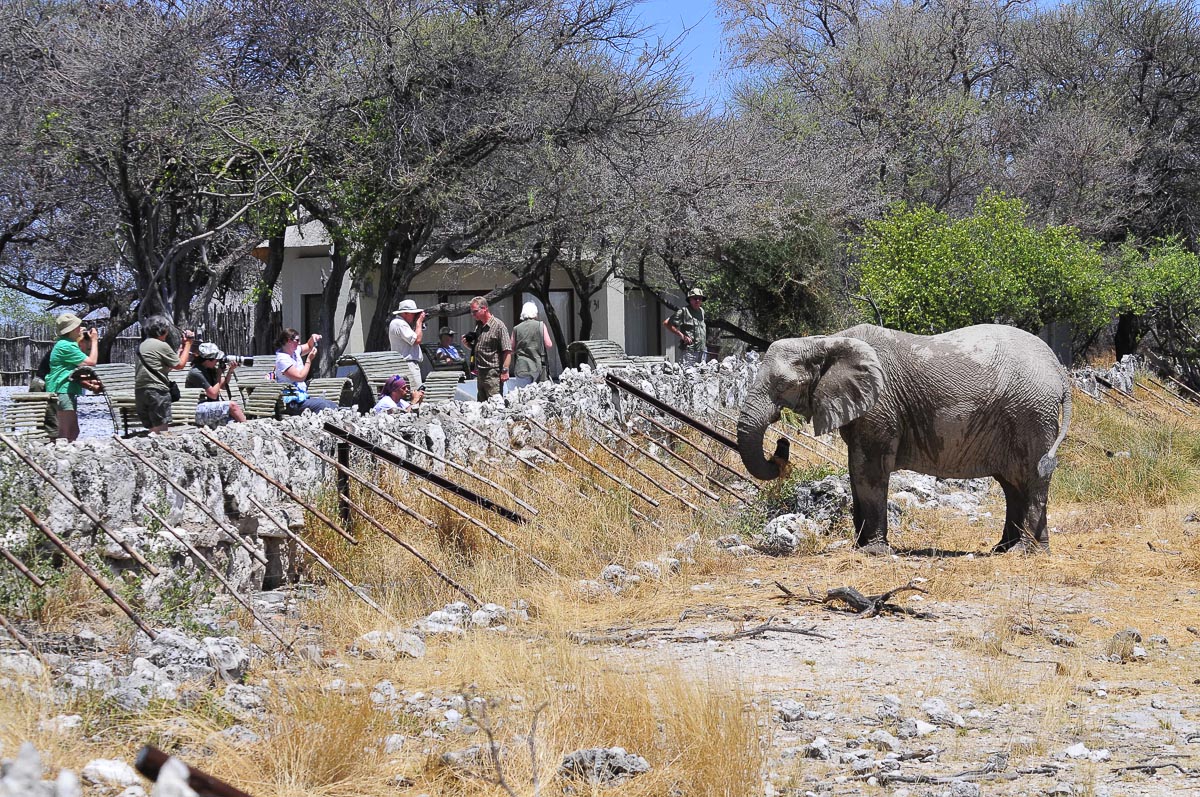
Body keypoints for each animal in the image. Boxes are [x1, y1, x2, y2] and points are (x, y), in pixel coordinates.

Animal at [737, 324, 1072, 554]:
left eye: (782, 384)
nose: (782, 446)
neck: (827, 341)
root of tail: (1059, 371)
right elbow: (856, 470)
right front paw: (860, 548)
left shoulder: (880, 405)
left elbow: (869, 471)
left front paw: (873, 552)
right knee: (1013, 483)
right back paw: (1005, 549)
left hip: (1031, 413)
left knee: (1032, 476)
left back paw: (1026, 552)